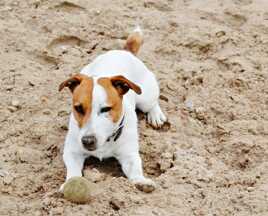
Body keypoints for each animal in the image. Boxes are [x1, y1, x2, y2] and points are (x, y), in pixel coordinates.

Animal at [59, 27, 165, 192]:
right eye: (78, 108)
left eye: (105, 109)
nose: (87, 141)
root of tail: (125, 51)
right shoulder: (72, 151)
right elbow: (73, 170)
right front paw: (71, 182)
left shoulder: (129, 155)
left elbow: (136, 169)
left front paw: (140, 181)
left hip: (145, 97)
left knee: (153, 102)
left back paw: (156, 115)